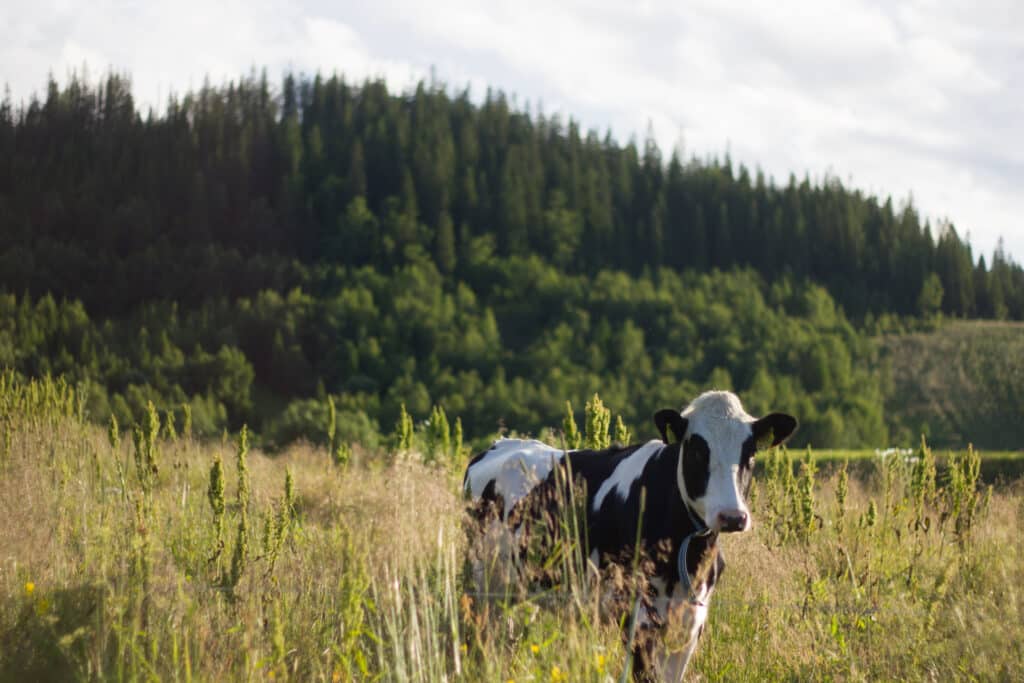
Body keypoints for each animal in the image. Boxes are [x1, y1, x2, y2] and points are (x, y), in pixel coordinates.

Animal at [464, 393, 798, 679]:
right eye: (696, 451)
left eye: (750, 454)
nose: (732, 516)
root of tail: (499, 444)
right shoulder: (638, 618)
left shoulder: (690, 623)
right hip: (481, 584)